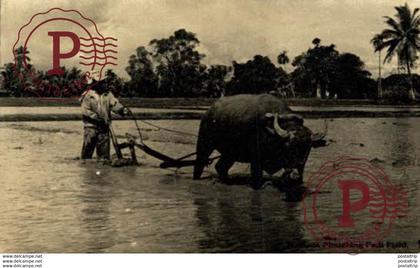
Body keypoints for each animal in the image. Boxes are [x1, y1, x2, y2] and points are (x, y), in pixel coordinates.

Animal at [192, 93, 326, 189]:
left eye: (307, 148)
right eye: (288, 146)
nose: (295, 176)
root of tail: (208, 113)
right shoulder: (256, 158)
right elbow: (257, 179)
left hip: (230, 153)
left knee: (220, 166)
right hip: (204, 144)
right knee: (199, 164)